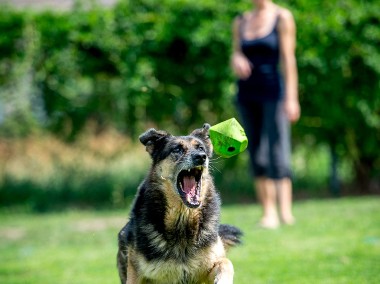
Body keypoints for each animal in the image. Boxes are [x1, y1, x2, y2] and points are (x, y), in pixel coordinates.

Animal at [116, 124, 242, 284]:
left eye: (201, 148)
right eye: (177, 149)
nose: (201, 157)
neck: (182, 220)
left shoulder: (207, 269)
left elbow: (226, 262)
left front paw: (223, 279)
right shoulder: (136, 273)